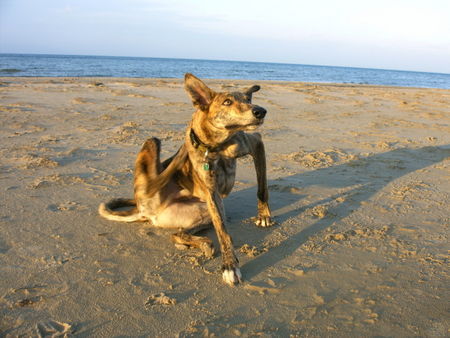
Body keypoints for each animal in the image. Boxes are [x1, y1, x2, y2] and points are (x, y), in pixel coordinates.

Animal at [99, 74, 272, 286]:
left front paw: (264, 215)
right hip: (153, 147)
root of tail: (144, 212)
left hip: (203, 210)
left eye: (248, 99)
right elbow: (223, 232)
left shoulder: (256, 143)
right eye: (227, 102)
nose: (260, 111)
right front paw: (230, 266)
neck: (216, 145)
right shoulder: (211, 191)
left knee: (179, 232)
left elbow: (262, 187)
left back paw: (202, 243)